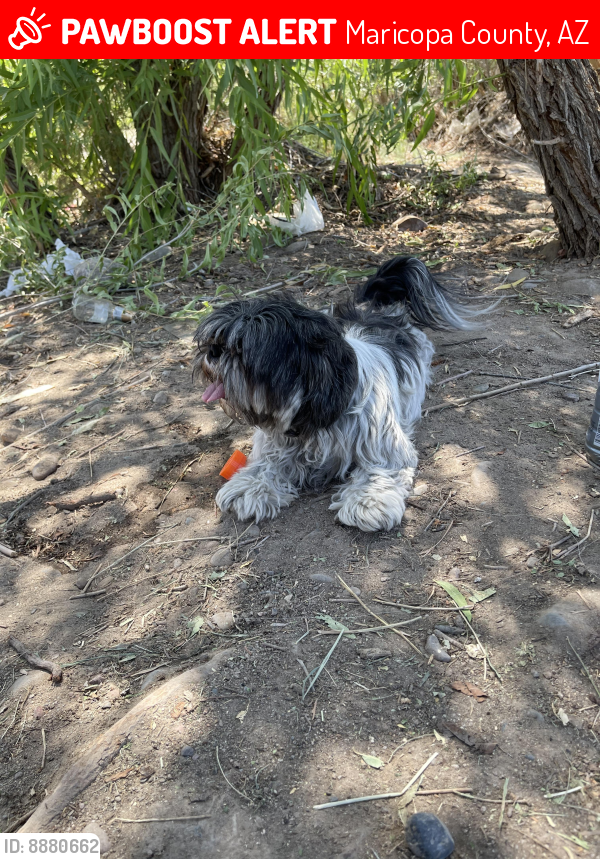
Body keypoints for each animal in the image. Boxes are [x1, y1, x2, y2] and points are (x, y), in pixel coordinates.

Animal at [195, 256, 486, 532]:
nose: (213, 351)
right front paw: (250, 485)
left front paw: (368, 502)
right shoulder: (277, 443)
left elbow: (378, 469)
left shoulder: (383, 445)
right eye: (217, 341)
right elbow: (268, 462)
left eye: (243, 349)